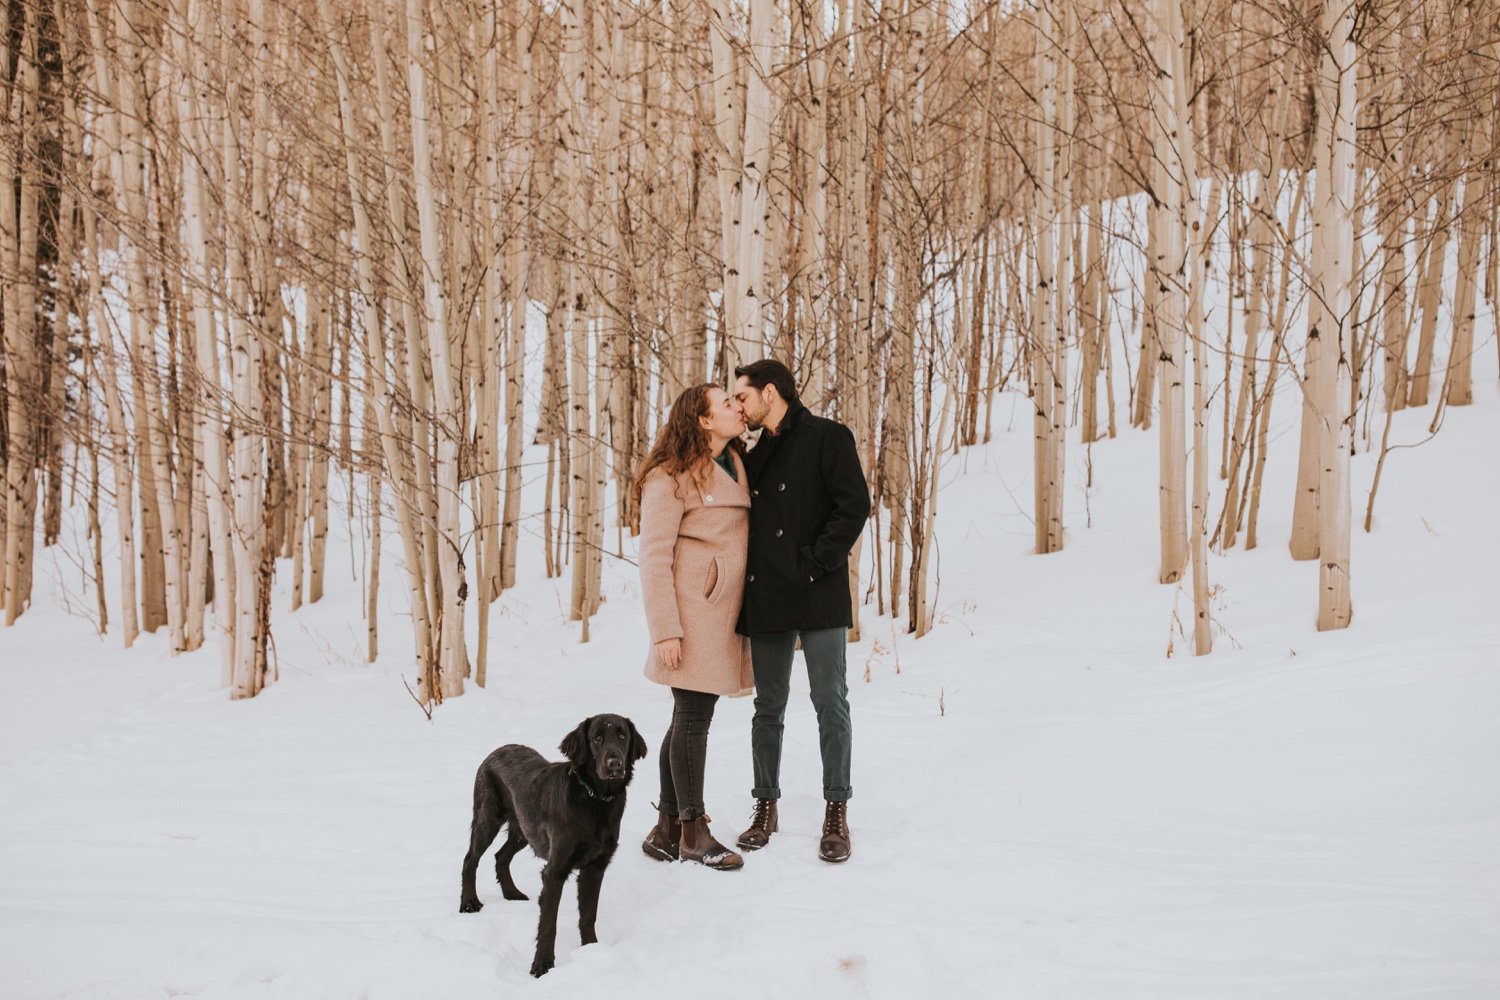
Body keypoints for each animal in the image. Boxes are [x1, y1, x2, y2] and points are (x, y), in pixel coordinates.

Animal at [456, 716, 645, 983]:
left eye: (622, 736)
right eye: (596, 738)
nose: (614, 763)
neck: (594, 800)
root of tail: (496, 751)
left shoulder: (595, 867)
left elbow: (588, 915)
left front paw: (591, 951)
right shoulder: (555, 870)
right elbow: (548, 924)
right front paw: (542, 966)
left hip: (524, 830)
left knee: (501, 856)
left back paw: (511, 893)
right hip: (487, 818)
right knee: (470, 859)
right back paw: (469, 903)